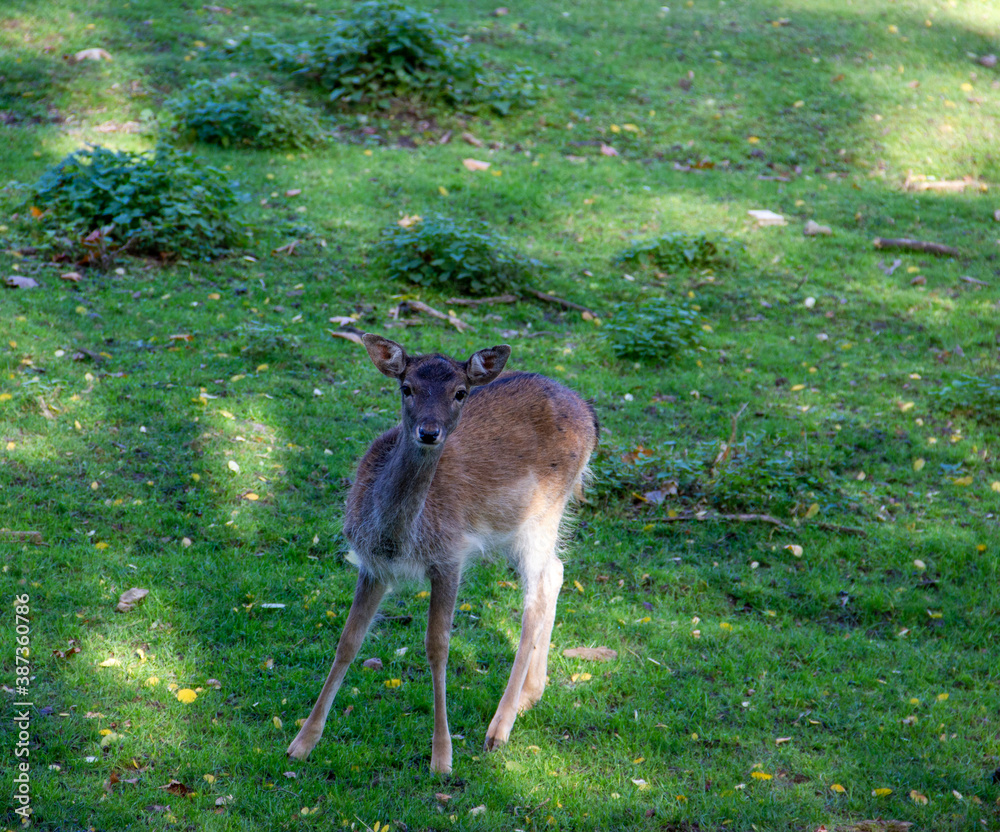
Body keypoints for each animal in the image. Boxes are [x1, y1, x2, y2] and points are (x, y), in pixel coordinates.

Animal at [286, 333, 598, 774]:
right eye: (407, 387)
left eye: (460, 392)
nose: (429, 431)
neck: (399, 539)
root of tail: (589, 413)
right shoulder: (372, 565)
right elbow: (348, 641)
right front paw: (302, 742)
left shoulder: (450, 557)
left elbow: (438, 647)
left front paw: (442, 758)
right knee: (555, 572)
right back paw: (531, 693)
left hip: (543, 513)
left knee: (536, 594)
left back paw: (499, 728)